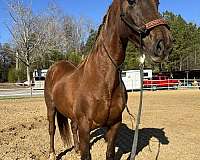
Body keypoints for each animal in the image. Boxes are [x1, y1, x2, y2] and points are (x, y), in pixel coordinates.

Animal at [44, 0, 173, 159]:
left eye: (158, 3)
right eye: (131, 2)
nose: (164, 43)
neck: (102, 80)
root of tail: (54, 68)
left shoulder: (114, 124)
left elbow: (110, 153)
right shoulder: (85, 127)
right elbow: (86, 155)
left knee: (72, 127)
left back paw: (76, 149)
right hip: (51, 107)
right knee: (52, 129)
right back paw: (52, 154)